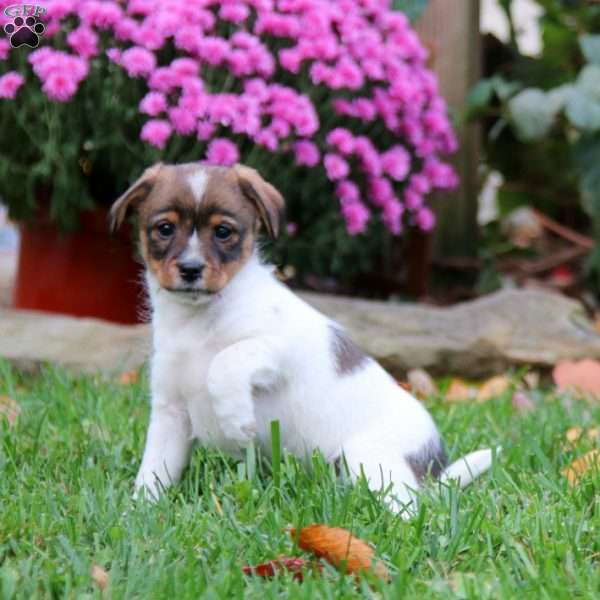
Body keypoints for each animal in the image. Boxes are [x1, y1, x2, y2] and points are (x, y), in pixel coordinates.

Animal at [110, 163, 494, 516]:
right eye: (165, 228)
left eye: (223, 231)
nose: (190, 269)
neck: (198, 319)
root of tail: (435, 470)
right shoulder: (171, 413)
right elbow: (153, 472)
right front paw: (140, 511)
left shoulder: (281, 351)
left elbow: (225, 362)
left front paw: (235, 419)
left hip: (368, 459)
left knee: (407, 509)